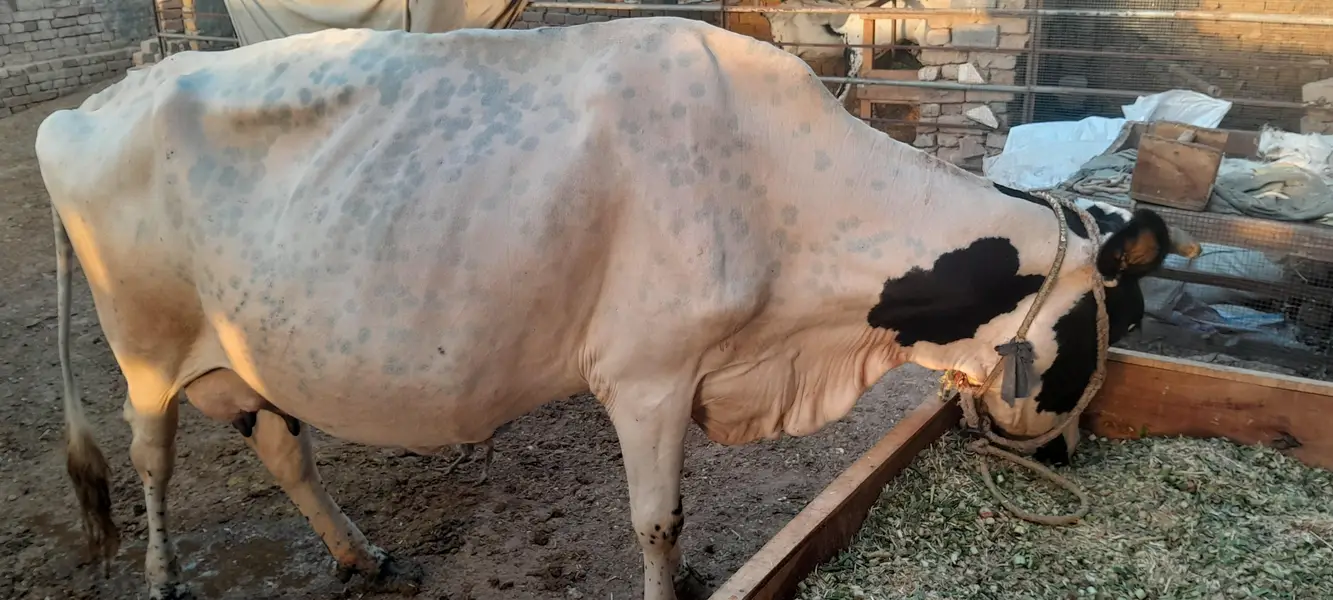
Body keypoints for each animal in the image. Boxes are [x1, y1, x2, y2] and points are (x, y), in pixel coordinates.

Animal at [38, 17, 1188, 600]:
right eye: (1120, 325)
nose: (1069, 455)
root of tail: (87, 107)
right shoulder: (647, 374)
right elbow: (657, 520)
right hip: (144, 347)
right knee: (149, 459)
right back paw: (162, 576)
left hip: (245, 353)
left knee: (283, 448)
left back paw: (359, 556)